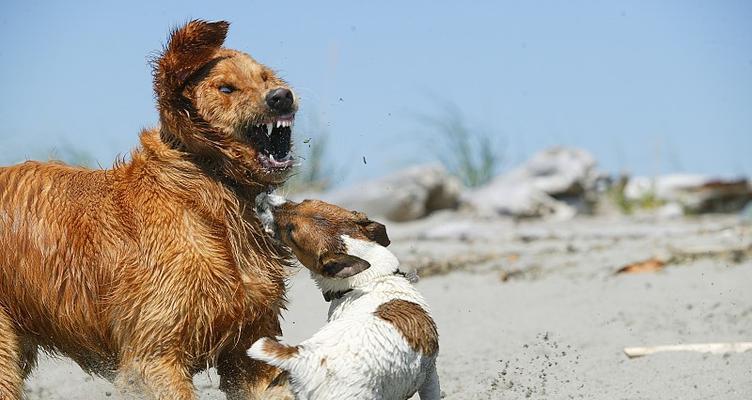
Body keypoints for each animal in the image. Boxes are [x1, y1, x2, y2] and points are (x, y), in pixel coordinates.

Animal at [0, 20, 300, 398]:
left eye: (265, 77)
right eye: (226, 88)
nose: (281, 96)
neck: (211, 186)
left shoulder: (251, 343)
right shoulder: (153, 352)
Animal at [250, 195, 438, 400]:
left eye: (291, 232)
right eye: (303, 200)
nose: (261, 197)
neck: (372, 279)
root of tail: (301, 358)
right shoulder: (430, 374)